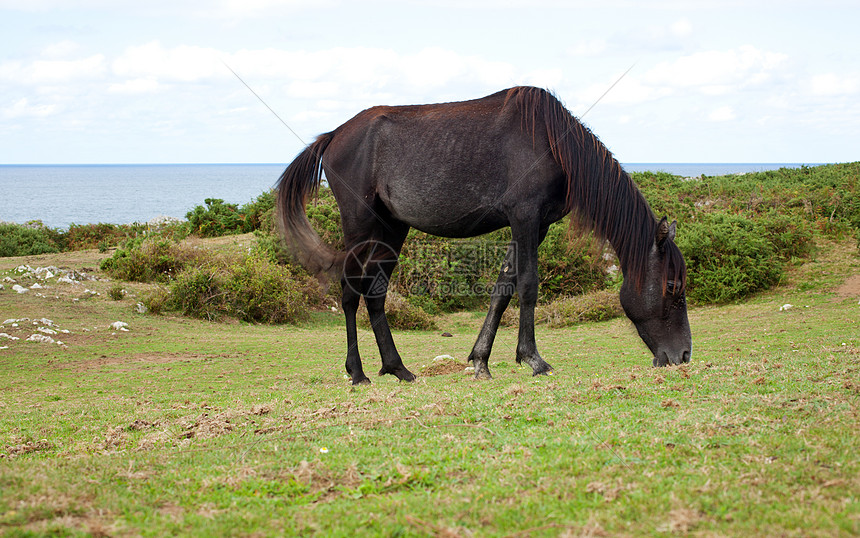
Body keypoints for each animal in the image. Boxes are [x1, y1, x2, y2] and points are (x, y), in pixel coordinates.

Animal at [278, 87, 692, 382]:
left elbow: (503, 288)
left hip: (392, 229)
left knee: (376, 293)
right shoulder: (525, 216)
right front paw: (534, 359)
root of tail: (334, 135)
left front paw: (481, 361)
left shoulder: (536, 224)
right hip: (360, 225)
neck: (552, 142)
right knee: (351, 292)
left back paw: (398, 368)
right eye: (672, 286)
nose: (684, 356)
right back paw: (358, 372)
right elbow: (527, 285)